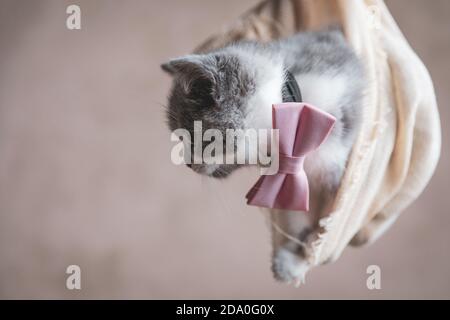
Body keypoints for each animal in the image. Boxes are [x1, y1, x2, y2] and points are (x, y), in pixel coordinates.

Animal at [162, 28, 366, 284]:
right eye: (179, 137)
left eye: (193, 136)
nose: (188, 164)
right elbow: (298, 217)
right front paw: (289, 260)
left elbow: (326, 225)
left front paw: (299, 259)